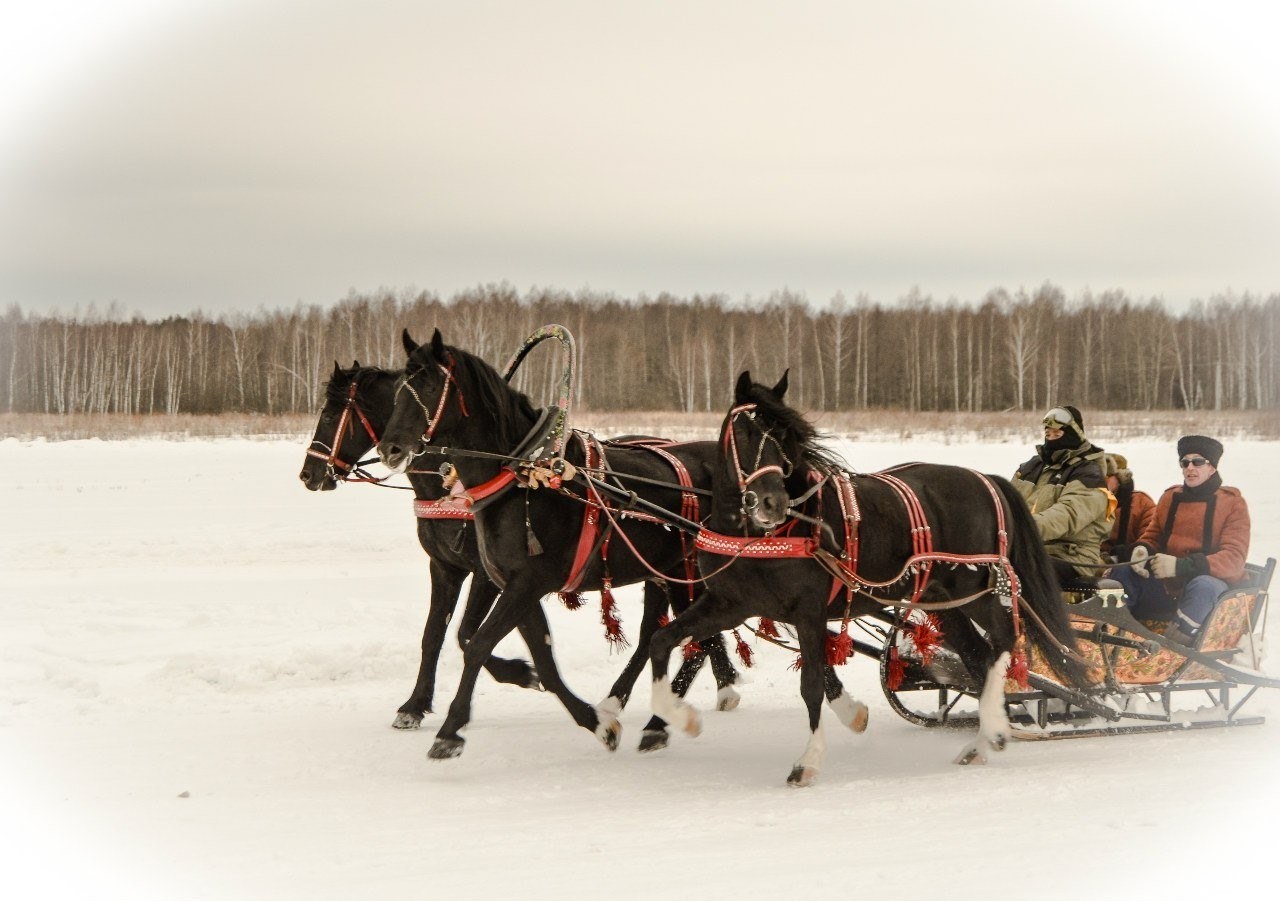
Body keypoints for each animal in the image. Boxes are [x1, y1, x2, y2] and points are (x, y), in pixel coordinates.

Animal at [645, 368, 1085, 783]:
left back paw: (995, 728)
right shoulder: (729, 604)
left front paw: (809, 761)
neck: (759, 537)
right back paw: (982, 741)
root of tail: (985, 479)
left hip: (976, 588)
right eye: (746, 430)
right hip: (942, 600)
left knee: (1004, 640)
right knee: (978, 654)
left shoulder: (808, 611)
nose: (773, 502)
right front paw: (682, 718)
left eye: (786, 435)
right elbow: (661, 640)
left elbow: (811, 684)